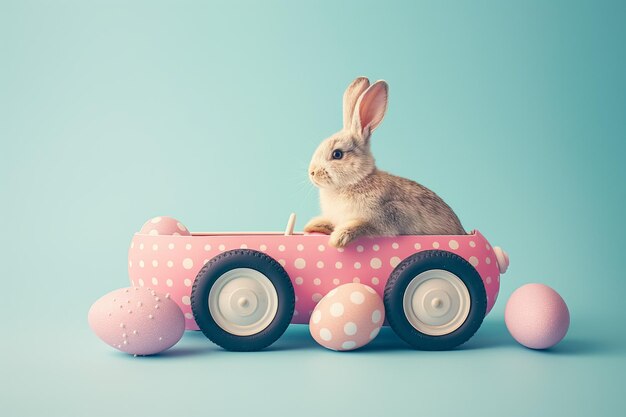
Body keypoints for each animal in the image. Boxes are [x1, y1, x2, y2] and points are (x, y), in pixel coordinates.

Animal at [302, 75, 464, 247]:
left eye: (337, 154)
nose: (312, 172)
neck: (357, 180)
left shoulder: (388, 216)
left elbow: (362, 226)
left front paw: (338, 238)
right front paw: (314, 225)